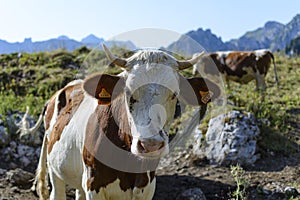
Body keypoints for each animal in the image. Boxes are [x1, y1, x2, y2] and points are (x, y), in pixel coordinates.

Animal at [18, 44, 220, 199]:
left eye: (174, 94)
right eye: (128, 92)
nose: (151, 145)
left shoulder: (146, 186)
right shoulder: (93, 184)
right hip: (55, 170)